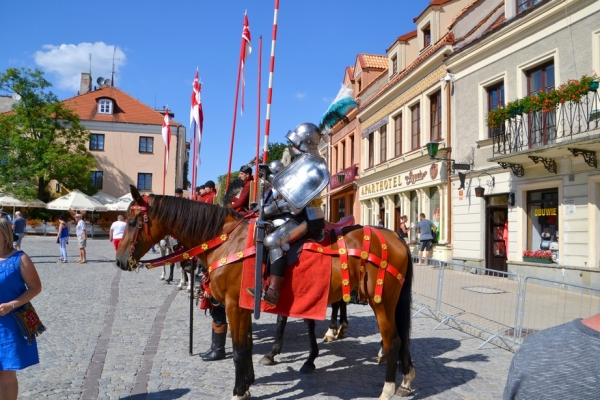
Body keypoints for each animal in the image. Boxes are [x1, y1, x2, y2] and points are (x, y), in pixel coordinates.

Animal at [117, 187, 418, 400]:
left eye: (132, 222)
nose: (120, 261)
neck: (227, 241)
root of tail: (396, 238)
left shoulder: (233, 306)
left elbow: (239, 350)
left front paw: (239, 391)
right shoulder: (244, 307)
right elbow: (248, 345)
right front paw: (249, 382)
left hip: (382, 302)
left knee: (392, 340)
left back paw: (387, 389)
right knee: (401, 337)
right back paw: (405, 379)